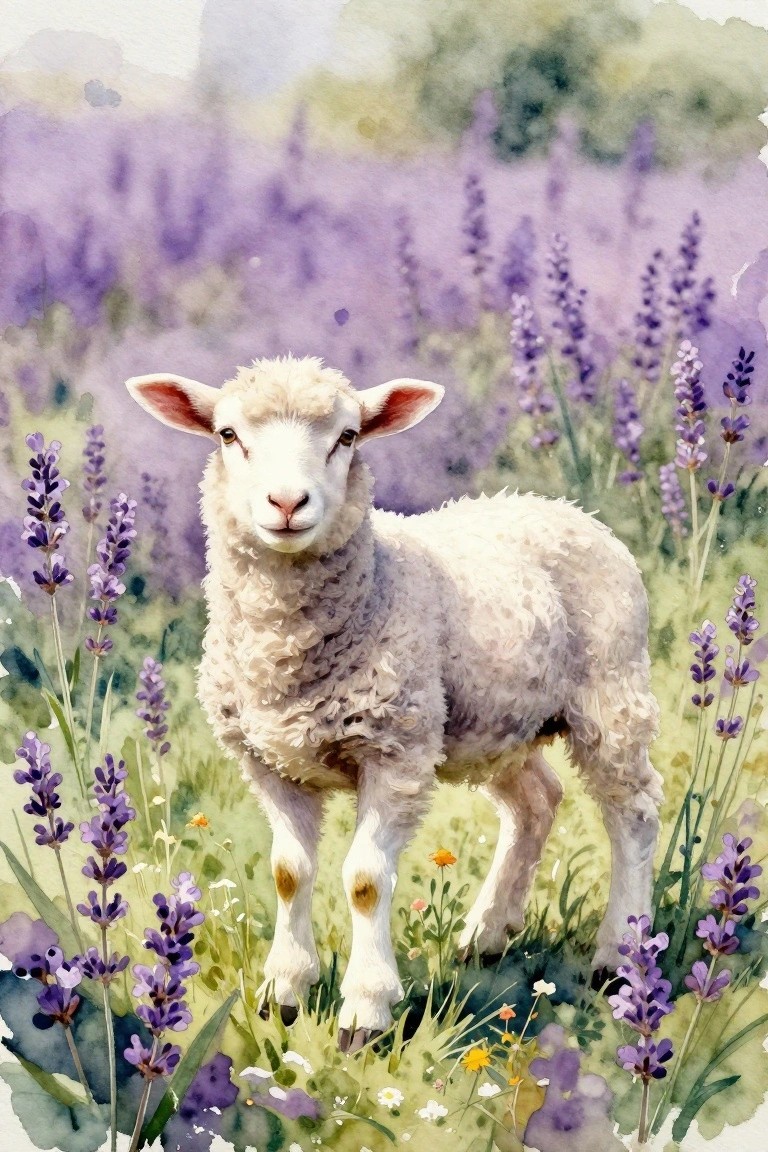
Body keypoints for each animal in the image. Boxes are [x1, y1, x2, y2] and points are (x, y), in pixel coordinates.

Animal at [126, 354, 662, 1053]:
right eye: (227, 435)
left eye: (348, 437)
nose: (287, 503)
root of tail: (562, 509)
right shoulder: (268, 761)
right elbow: (288, 871)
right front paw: (283, 993)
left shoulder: (396, 751)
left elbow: (364, 881)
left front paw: (365, 1011)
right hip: (493, 722)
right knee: (536, 802)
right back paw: (486, 934)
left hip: (610, 694)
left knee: (634, 814)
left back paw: (619, 956)